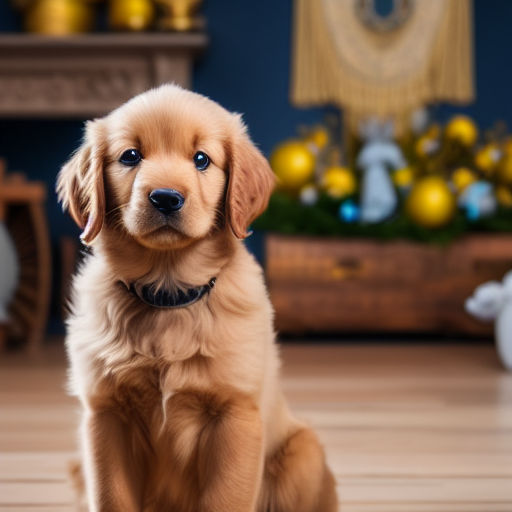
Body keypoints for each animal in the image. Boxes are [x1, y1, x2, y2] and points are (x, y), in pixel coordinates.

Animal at [58, 85, 338, 512]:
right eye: (130, 156)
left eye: (202, 159)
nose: (165, 198)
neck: (168, 292)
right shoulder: (105, 415)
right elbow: (112, 498)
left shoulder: (234, 415)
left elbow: (224, 498)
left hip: (302, 453)